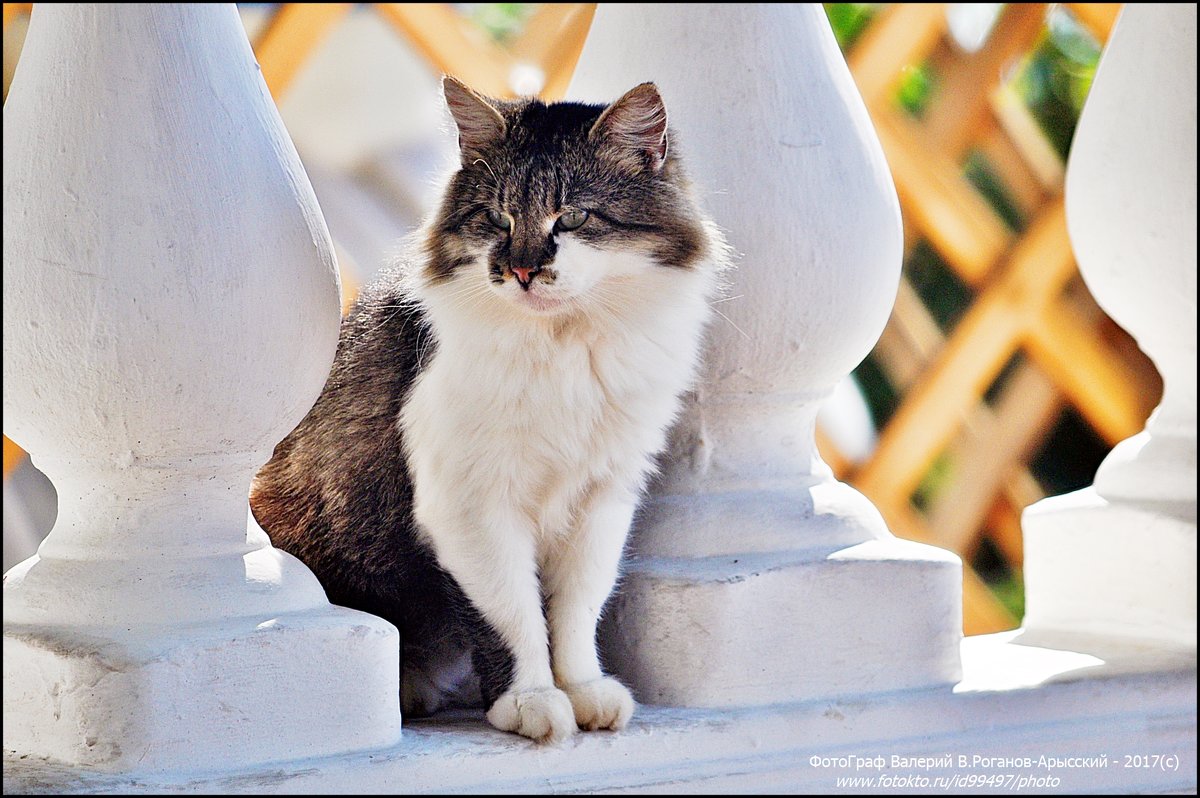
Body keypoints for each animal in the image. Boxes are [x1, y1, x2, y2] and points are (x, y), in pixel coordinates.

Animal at [248, 74, 724, 739]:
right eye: (497, 219)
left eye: (573, 217)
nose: (521, 270)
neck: (564, 350)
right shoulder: (470, 506)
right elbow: (513, 617)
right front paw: (531, 701)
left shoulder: (603, 498)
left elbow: (576, 609)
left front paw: (583, 690)